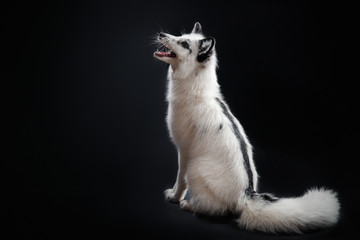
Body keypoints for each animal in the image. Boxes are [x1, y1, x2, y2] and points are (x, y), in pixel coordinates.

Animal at [153, 23, 338, 234]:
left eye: (184, 43)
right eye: (180, 36)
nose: (161, 34)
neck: (197, 92)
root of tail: (246, 195)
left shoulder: (183, 153)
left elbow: (180, 181)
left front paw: (175, 197)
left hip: (195, 169)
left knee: (213, 209)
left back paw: (189, 205)